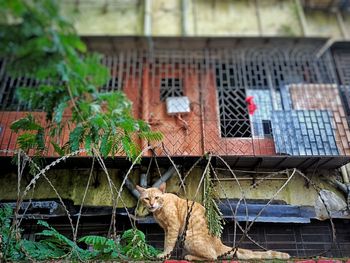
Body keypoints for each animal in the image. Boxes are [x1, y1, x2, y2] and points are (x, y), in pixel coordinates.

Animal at [136, 184, 290, 262]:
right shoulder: (166, 230)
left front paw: (164, 255)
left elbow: (168, 244)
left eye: (156, 197)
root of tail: (219, 243)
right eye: (146, 198)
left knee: (213, 257)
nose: (151, 205)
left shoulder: (173, 227)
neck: (159, 211)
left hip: (189, 237)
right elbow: (165, 241)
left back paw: (189, 256)